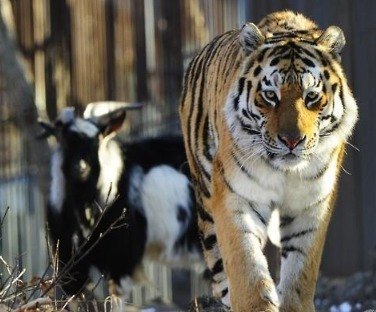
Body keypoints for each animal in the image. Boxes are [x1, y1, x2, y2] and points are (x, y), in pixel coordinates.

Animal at [179, 9, 358, 312]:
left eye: (311, 96)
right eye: (270, 95)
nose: (291, 140)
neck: (285, 172)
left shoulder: (312, 205)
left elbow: (300, 272)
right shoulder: (236, 196)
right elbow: (246, 266)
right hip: (206, 203)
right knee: (221, 275)